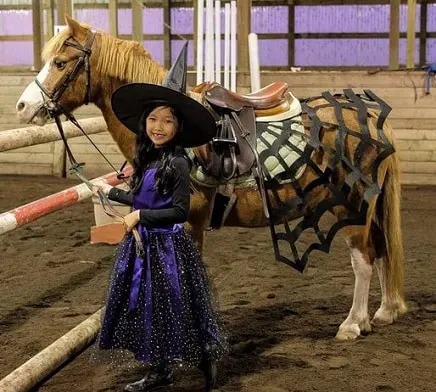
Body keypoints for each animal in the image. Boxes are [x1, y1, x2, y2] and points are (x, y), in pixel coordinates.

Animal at [15, 16, 408, 340]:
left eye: (60, 62)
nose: (22, 107)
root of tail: (369, 116)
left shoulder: (189, 220)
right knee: (380, 249)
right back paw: (382, 313)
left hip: (352, 207)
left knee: (362, 259)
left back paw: (352, 324)